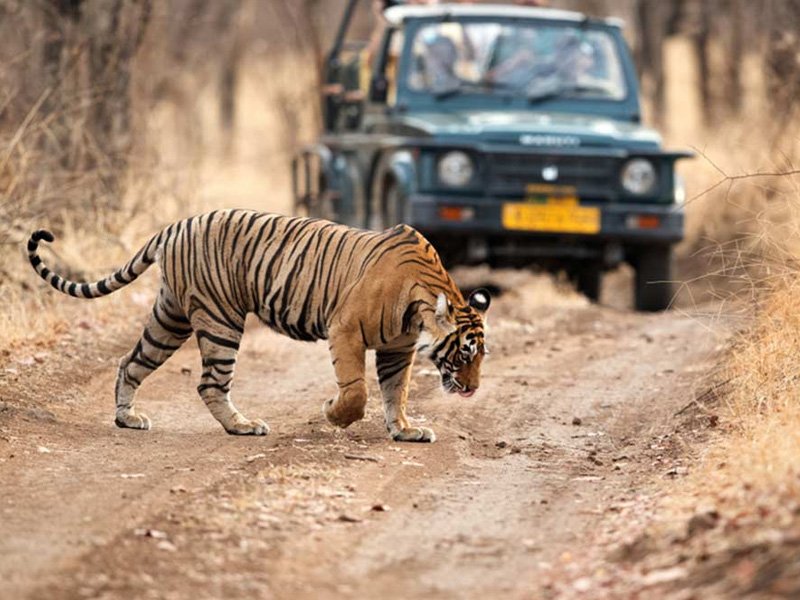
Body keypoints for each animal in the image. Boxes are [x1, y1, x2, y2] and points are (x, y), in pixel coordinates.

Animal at [26, 210, 488, 440]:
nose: (473, 389)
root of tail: (175, 225)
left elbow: (397, 392)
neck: (420, 305)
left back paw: (127, 418)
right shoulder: (345, 330)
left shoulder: (397, 349)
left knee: (131, 362)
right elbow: (357, 391)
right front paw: (334, 414)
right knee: (210, 383)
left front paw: (405, 430)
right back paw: (242, 426)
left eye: (481, 356)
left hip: (170, 317)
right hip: (220, 319)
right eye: (464, 353)